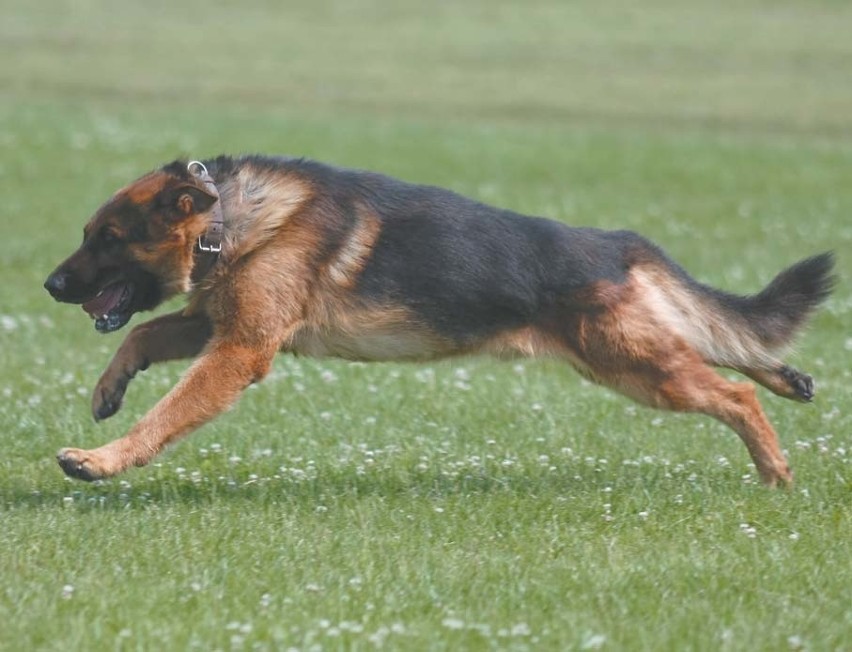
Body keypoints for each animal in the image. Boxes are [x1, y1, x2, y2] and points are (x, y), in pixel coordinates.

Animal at [43, 157, 836, 484]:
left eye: (107, 238)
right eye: (87, 233)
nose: (49, 285)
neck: (225, 218)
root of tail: (615, 244)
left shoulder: (240, 349)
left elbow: (167, 413)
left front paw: (102, 461)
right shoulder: (218, 327)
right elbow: (144, 333)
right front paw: (108, 390)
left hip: (634, 367)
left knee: (732, 393)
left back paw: (775, 471)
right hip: (635, 355)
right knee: (726, 345)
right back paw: (788, 378)